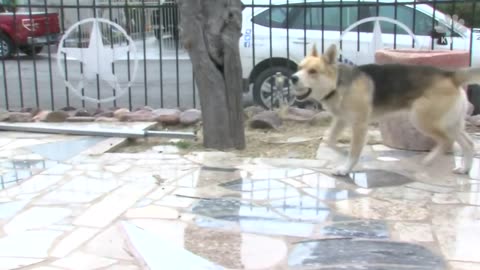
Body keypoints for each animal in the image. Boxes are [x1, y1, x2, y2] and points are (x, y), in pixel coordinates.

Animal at [288, 43, 480, 176]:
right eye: (299, 68)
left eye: (313, 71)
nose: (292, 78)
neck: (337, 83)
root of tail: (450, 75)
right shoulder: (341, 120)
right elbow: (330, 141)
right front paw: (342, 153)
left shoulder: (359, 126)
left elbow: (354, 150)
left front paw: (346, 168)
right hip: (450, 124)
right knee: (468, 144)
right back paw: (464, 169)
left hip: (422, 120)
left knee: (446, 141)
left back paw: (429, 159)